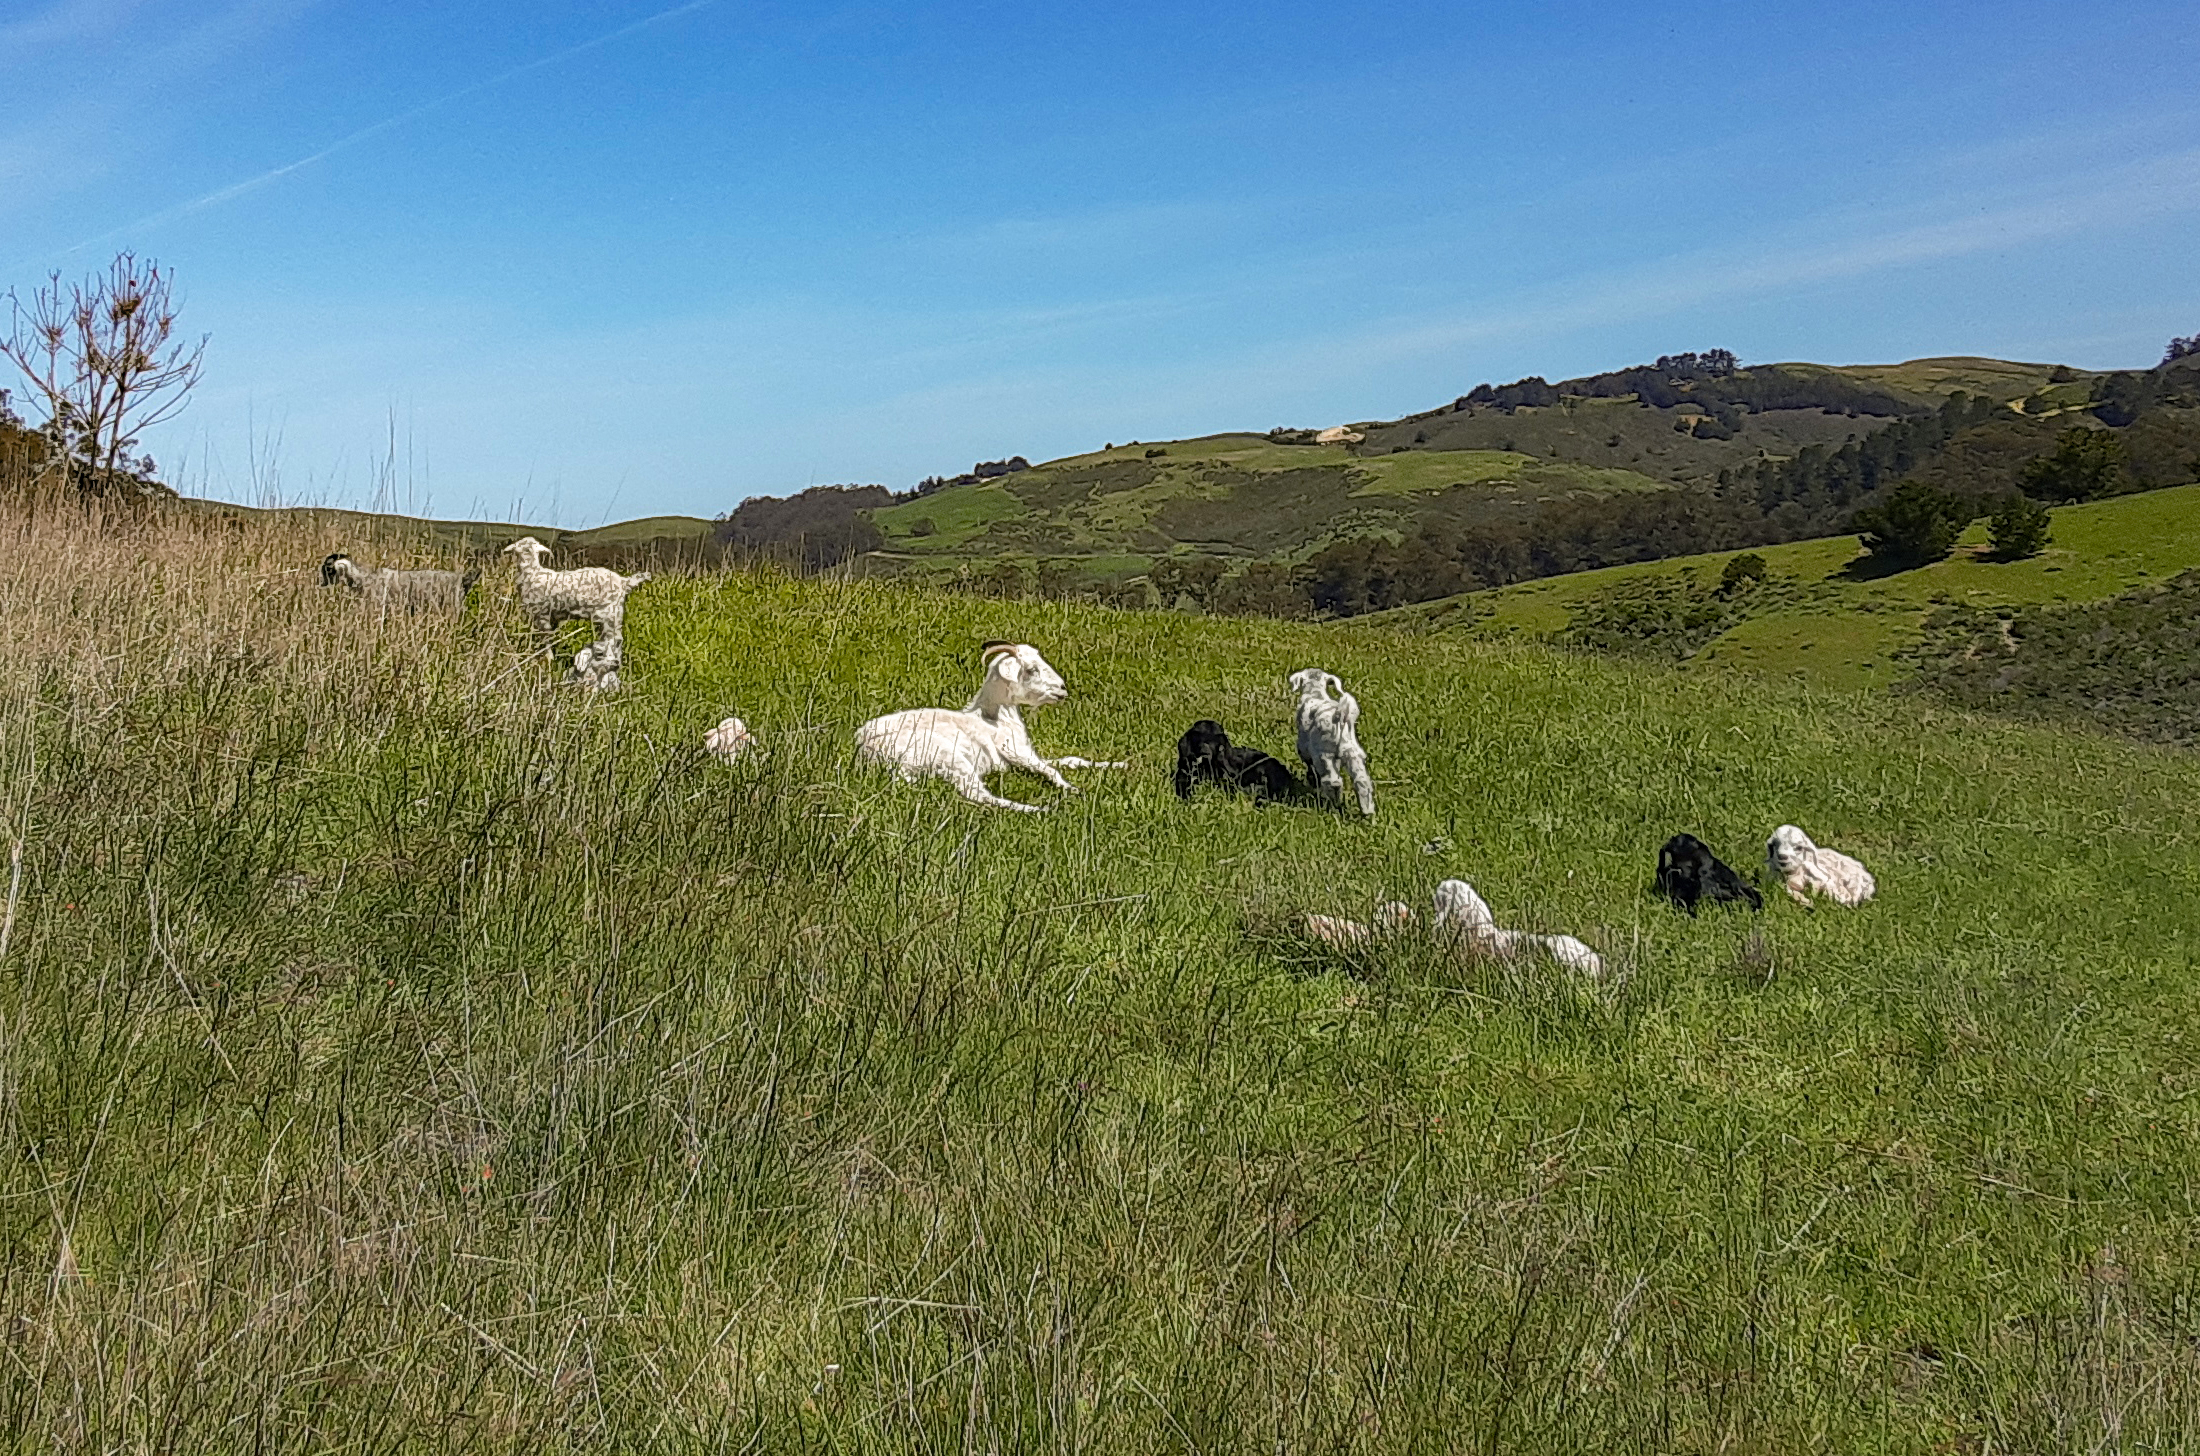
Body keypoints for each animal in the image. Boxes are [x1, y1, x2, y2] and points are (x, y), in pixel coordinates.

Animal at [853, 646, 1126, 813]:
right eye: (1031, 669)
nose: (1062, 688)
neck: (993, 717)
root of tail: (868, 750)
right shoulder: (1017, 753)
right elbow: (1052, 771)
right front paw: (1073, 789)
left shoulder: (1025, 756)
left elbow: (1070, 760)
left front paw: (1119, 765)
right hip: (949, 758)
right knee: (977, 794)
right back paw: (1039, 809)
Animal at [1284, 673, 1372, 822]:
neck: (1315, 693)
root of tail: (1340, 718)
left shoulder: (1304, 745)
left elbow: (1308, 762)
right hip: (1352, 753)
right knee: (1362, 782)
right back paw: (1367, 812)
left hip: (1324, 754)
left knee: (1333, 781)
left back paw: (1333, 803)